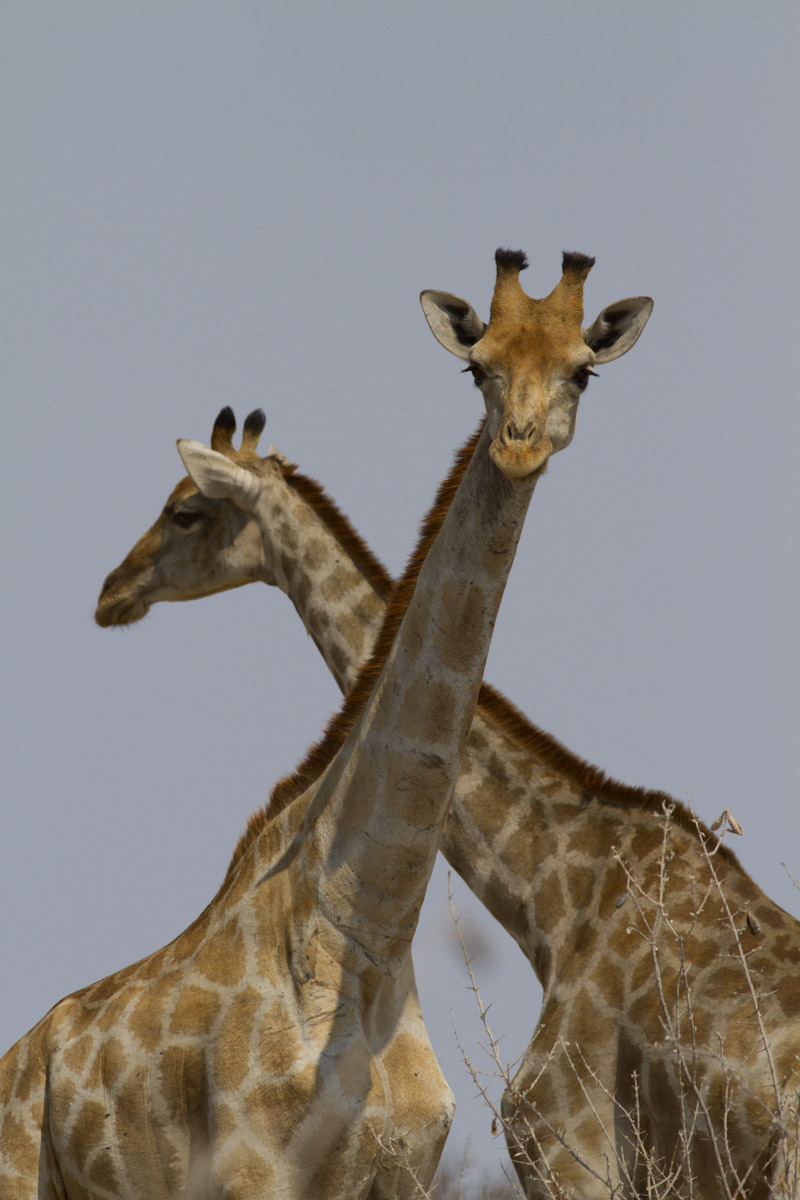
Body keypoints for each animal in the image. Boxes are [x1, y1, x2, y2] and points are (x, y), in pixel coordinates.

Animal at [0, 249, 608, 1200]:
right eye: (476, 367)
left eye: (583, 369)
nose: (520, 446)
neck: (367, 932)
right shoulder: (254, 1168)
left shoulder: (406, 1170)